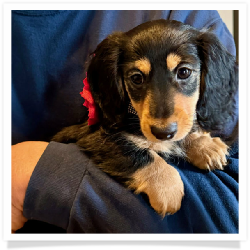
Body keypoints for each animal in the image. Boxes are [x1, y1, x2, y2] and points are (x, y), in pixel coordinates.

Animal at [51, 19, 237, 216]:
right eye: (136, 78)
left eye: (184, 72)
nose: (163, 133)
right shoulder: (97, 137)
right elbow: (139, 153)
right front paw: (166, 188)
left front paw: (204, 145)